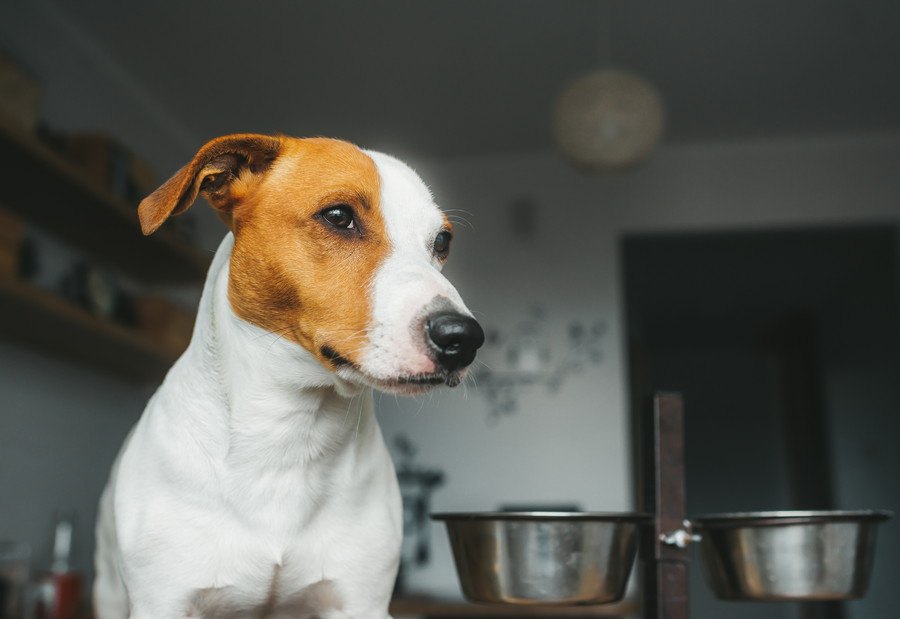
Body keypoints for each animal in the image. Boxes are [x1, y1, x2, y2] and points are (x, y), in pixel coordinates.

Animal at [92, 133, 482, 616]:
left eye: (442, 241)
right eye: (338, 216)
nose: (463, 338)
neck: (289, 431)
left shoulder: (361, 601)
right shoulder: (163, 602)